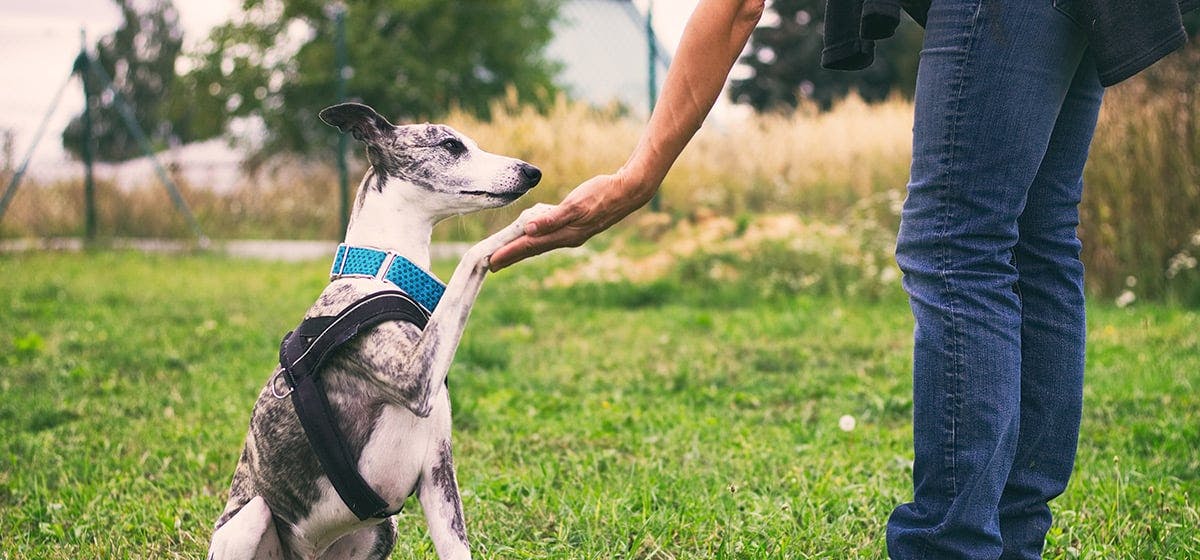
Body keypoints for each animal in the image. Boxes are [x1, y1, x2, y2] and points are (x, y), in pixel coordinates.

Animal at [208, 101, 547, 560]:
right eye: (451, 145)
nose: (531, 171)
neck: (382, 270)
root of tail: (306, 556)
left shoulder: (437, 474)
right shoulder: (413, 378)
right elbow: (470, 257)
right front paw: (528, 219)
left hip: (384, 528)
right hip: (249, 518)